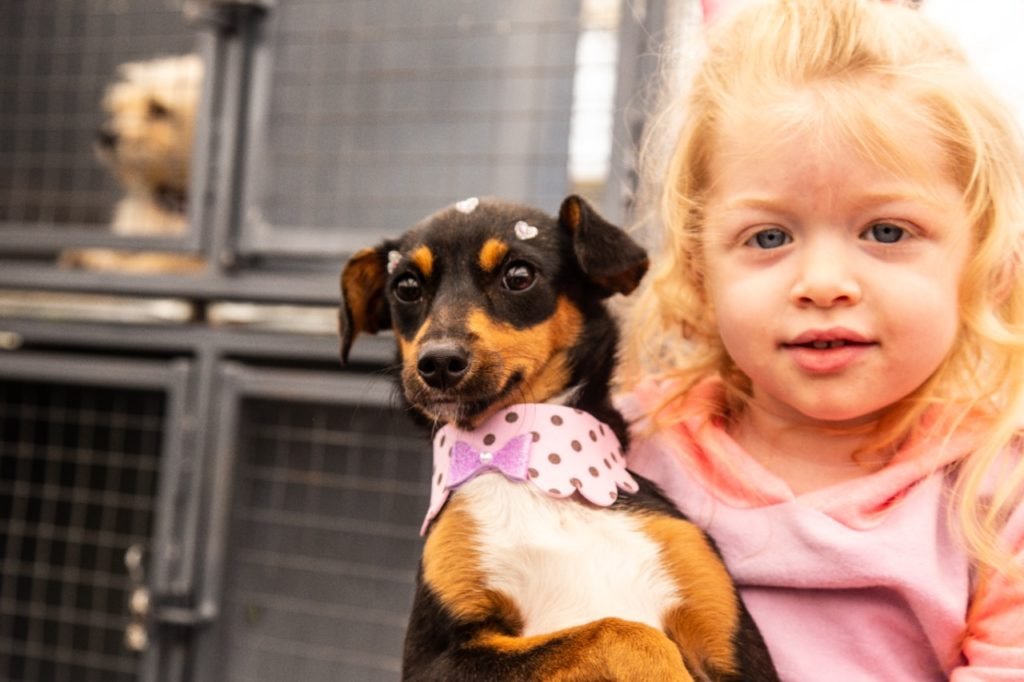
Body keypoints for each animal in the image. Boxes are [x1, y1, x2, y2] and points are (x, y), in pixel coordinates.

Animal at [61, 54, 205, 273]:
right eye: (118, 110)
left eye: (158, 109)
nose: (105, 136)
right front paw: (89, 257)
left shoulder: (192, 263)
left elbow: (153, 261)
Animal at [339, 195, 778, 681]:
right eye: (406, 287)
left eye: (519, 276)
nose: (437, 363)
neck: (530, 465)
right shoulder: (432, 661)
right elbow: (618, 631)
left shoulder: (736, 651)